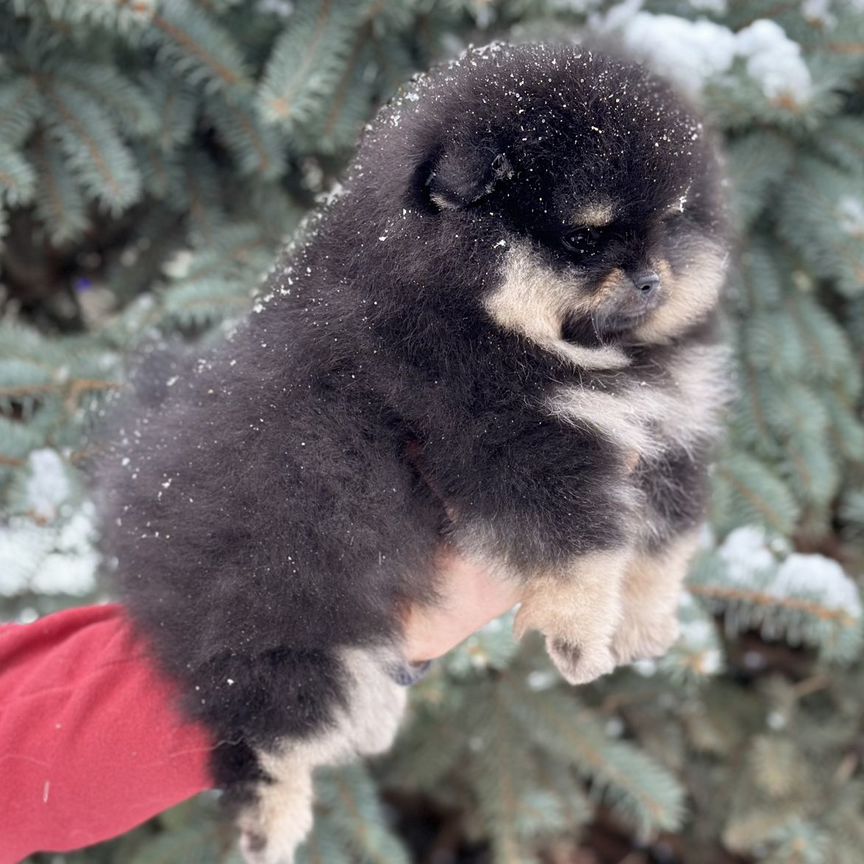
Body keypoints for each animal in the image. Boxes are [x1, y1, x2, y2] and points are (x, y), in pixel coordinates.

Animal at [94, 42, 728, 864]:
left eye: (672, 223)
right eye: (582, 239)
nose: (653, 278)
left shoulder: (665, 433)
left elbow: (663, 544)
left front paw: (648, 622)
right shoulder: (507, 443)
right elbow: (582, 550)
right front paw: (579, 635)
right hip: (283, 622)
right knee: (261, 733)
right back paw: (272, 822)